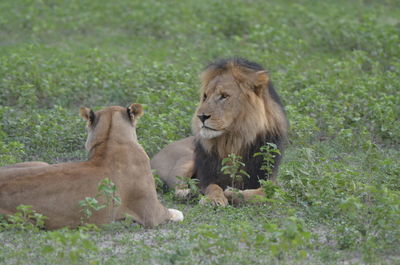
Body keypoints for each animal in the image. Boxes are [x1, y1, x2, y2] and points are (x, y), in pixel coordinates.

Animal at [152, 58, 288, 206]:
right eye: (205, 96)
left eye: (224, 96)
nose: (201, 117)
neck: (234, 141)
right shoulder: (207, 175)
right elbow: (213, 186)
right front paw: (214, 199)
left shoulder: (270, 180)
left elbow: (264, 193)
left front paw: (234, 193)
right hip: (186, 158)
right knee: (177, 186)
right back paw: (188, 194)